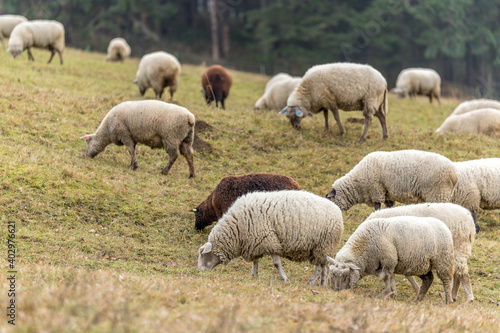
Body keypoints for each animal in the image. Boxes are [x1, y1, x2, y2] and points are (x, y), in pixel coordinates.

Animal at [197, 189, 346, 286]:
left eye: (203, 255)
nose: (199, 272)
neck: (237, 229)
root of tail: (337, 211)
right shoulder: (255, 241)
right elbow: (255, 261)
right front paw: (254, 275)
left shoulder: (270, 241)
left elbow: (276, 263)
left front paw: (284, 278)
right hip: (321, 248)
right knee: (324, 265)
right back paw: (322, 283)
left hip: (324, 244)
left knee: (320, 267)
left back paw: (312, 282)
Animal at [326, 150, 458, 210]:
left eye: (330, 200)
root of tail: (454, 174)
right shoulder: (387, 195)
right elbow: (389, 207)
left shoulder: (376, 191)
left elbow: (377, 207)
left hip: (439, 194)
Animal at [326, 215, 456, 304]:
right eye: (332, 275)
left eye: (346, 276)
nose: (337, 290)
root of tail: (443, 225)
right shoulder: (381, 265)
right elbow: (389, 278)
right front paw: (392, 293)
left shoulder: (388, 260)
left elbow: (388, 278)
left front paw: (386, 294)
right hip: (421, 265)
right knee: (429, 279)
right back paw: (418, 300)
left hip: (444, 260)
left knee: (447, 280)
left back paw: (448, 301)